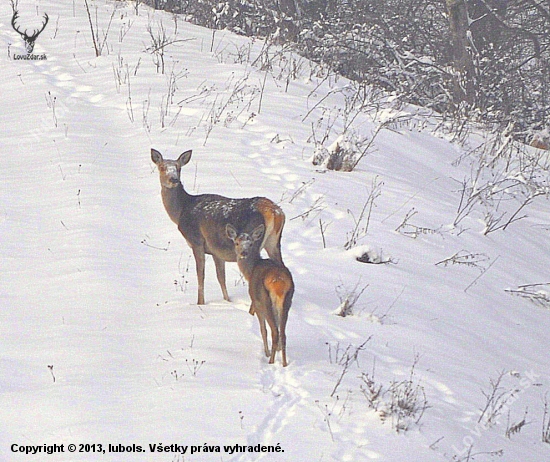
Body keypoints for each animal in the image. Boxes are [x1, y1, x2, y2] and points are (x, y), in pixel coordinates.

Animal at [153, 150, 286, 304]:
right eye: (162, 167)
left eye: (178, 168)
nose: (174, 179)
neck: (181, 210)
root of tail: (276, 213)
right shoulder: (216, 250)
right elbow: (221, 277)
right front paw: (227, 301)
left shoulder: (196, 241)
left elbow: (201, 275)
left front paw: (200, 303)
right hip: (273, 243)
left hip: (253, 242)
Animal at [226, 222, 296, 366]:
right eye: (237, 242)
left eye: (250, 243)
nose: (244, 253)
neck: (250, 271)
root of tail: (279, 281)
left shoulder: (256, 302)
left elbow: (263, 330)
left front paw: (267, 352)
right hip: (287, 300)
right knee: (283, 333)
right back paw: (284, 363)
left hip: (265, 300)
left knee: (274, 332)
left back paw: (271, 360)